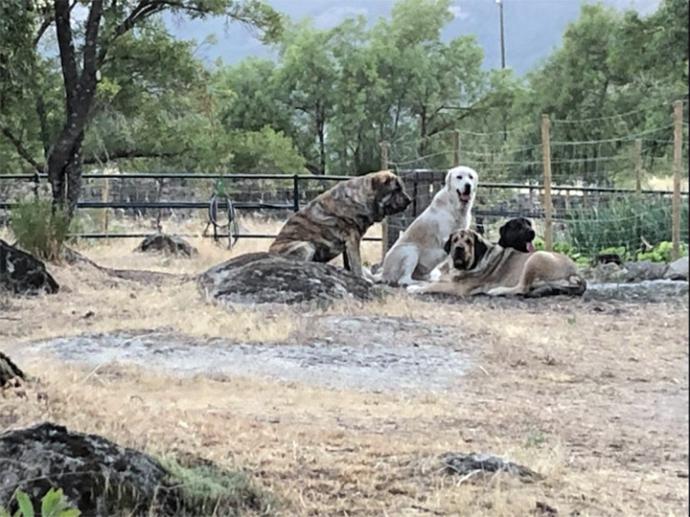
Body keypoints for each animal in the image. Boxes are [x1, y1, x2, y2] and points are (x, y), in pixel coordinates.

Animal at [268, 170, 408, 276]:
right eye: (396, 189)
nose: (409, 200)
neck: (361, 197)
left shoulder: (348, 243)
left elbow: (348, 262)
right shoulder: (353, 238)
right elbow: (356, 263)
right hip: (307, 246)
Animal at [408, 229, 584, 296]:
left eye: (469, 242)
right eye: (455, 240)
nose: (458, 248)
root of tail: (575, 272)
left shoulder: (458, 288)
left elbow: (433, 286)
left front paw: (415, 288)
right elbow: (433, 281)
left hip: (535, 258)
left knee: (521, 288)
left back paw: (497, 290)